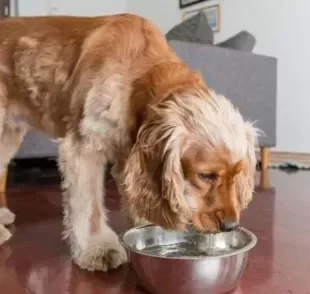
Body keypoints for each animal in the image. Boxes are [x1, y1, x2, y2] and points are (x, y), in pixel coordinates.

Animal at [0, 13, 258, 272]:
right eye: (206, 176)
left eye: (237, 175)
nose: (230, 226)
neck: (143, 74)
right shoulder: (84, 147)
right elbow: (90, 207)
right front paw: (97, 248)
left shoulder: (129, 154)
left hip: (9, 134)